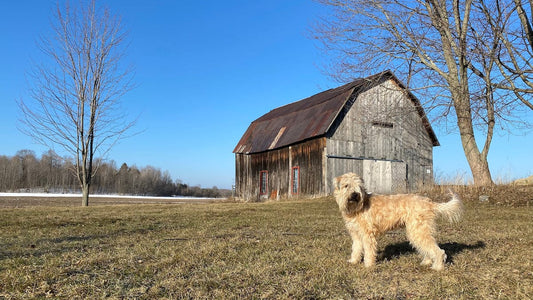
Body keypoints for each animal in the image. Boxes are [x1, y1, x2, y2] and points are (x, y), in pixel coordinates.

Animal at [332, 172, 462, 270]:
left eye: (359, 186)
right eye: (346, 185)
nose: (355, 195)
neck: (357, 208)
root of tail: (429, 202)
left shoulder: (367, 234)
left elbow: (369, 251)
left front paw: (368, 265)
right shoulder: (356, 234)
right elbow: (356, 249)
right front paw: (353, 261)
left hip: (418, 231)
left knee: (438, 250)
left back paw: (437, 267)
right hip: (418, 231)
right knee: (428, 248)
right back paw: (426, 262)